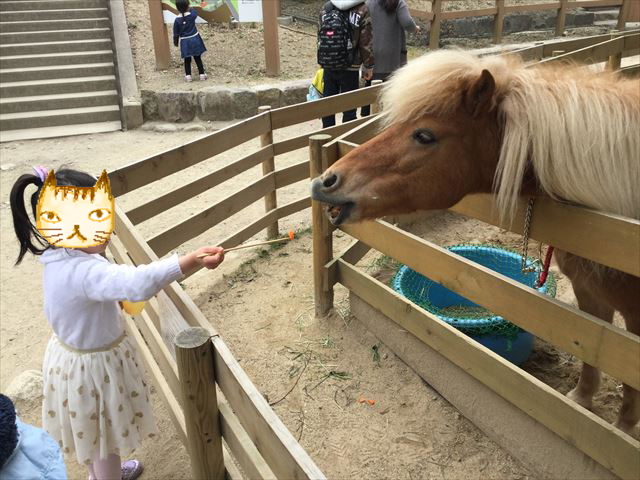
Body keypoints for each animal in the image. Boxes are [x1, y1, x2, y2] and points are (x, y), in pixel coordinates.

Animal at [312, 50, 640, 434]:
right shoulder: (590, 291)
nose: (326, 181)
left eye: (424, 135)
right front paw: (581, 400)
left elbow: (629, 378)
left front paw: (623, 427)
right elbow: (592, 351)